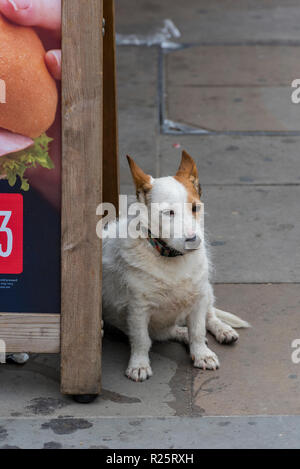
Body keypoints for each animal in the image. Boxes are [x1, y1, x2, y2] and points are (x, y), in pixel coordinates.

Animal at [102, 151, 250, 380]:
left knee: (210, 314)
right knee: (166, 332)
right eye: (169, 213)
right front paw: (139, 364)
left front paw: (202, 354)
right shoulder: (137, 308)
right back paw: (181, 333)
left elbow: (198, 329)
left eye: (195, 208)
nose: (194, 240)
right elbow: (141, 339)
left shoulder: (198, 298)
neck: (171, 257)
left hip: (206, 289)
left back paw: (222, 330)